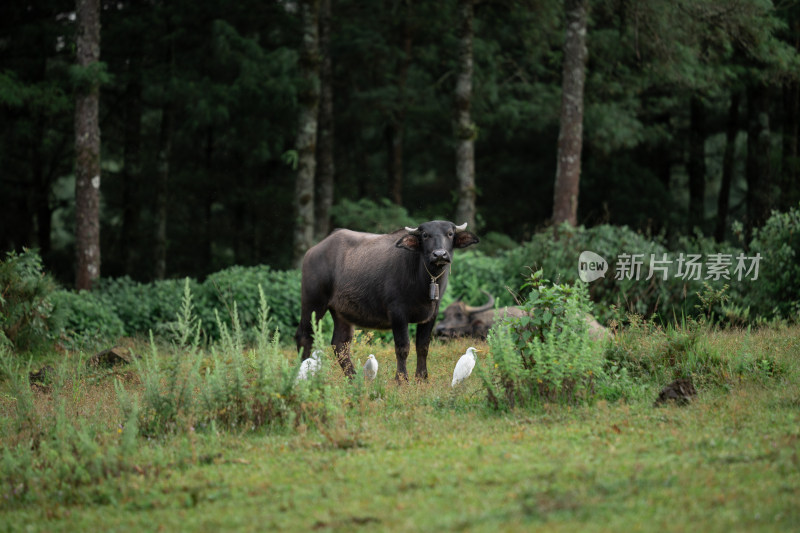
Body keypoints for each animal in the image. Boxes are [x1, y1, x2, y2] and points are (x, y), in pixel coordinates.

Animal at [296, 220, 478, 378]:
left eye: (450, 233)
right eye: (425, 235)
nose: (439, 254)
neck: (424, 279)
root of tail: (313, 251)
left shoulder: (431, 315)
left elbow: (423, 347)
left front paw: (421, 378)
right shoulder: (397, 313)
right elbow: (403, 348)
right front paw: (401, 380)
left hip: (341, 312)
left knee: (340, 343)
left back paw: (353, 378)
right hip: (313, 303)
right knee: (304, 337)